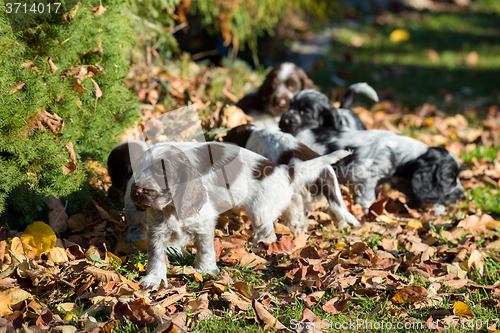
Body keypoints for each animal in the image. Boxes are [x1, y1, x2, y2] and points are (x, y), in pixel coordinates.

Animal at [107, 139, 350, 288]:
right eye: (140, 169)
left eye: (161, 173)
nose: (136, 191)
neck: (172, 208)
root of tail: (284, 170)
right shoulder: (157, 230)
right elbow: (156, 254)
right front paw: (154, 278)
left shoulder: (204, 223)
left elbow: (205, 248)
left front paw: (205, 270)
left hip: (260, 211)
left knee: (268, 232)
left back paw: (261, 248)